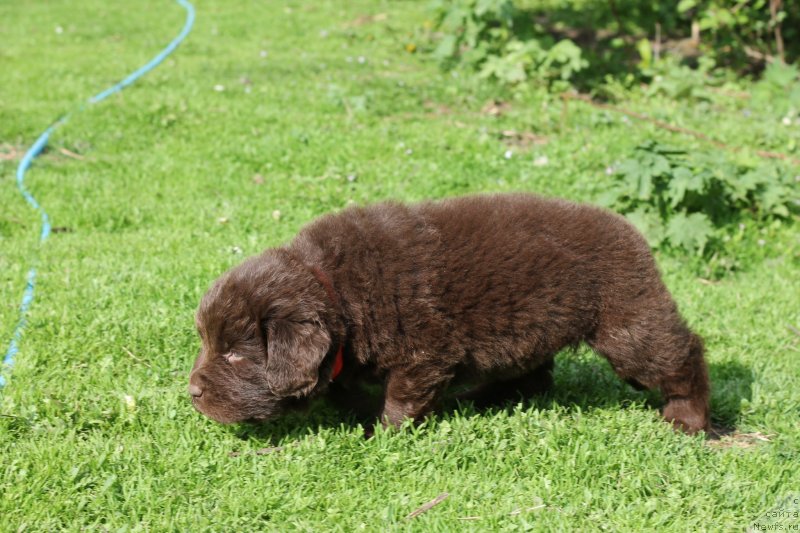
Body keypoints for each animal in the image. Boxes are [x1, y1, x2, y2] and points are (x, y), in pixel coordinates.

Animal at [191, 193, 708, 434]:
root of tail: (632, 230)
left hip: (626, 323)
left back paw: (689, 418)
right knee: (534, 376)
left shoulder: (425, 352)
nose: (193, 393)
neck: (334, 289)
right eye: (207, 344)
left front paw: (383, 433)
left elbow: (401, 397)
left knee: (683, 353)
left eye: (236, 356)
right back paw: (480, 398)